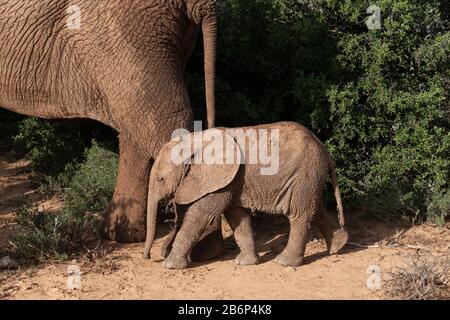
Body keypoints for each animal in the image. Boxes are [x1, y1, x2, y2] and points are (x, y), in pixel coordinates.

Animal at [144, 121, 348, 268]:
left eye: (161, 179)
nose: (148, 257)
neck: (194, 142)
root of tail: (325, 151)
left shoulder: (221, 179)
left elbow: (201, 215)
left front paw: (169, 265)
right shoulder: (232, 181)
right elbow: (237, 216)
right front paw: (245, 263)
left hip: (303, 174)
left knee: (299, 214)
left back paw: (284, 262)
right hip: (309, 177)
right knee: (316, 209)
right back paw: (339, 245)